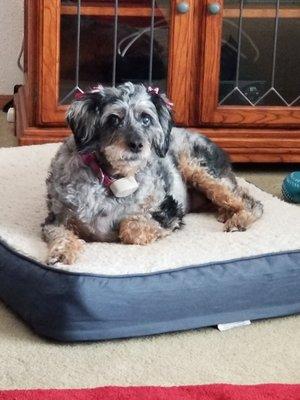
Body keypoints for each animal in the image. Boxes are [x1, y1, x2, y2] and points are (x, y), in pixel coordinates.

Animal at [42, 81, 262, 264]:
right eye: (113, 119)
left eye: (146, 119)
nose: (137, 144)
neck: (112, 180)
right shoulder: (56, 220)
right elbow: (61, 235)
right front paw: (61, 253)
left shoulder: (168, 210)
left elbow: (129, 227)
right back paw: (225, 213)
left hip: (198, 169)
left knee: (251, 201)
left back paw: (238, 220)